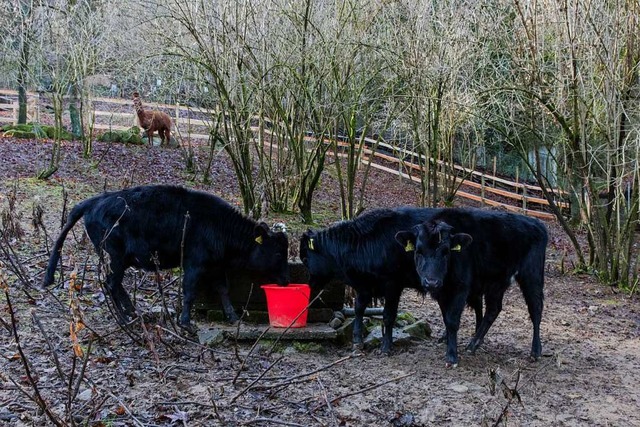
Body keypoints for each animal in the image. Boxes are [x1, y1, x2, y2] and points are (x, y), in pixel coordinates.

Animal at [41, 186, 288, 330]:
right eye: (277, 252)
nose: (285, 281)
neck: (219, 225)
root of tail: (92, 202)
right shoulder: (194, 263)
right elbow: (189, 291)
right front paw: (186, 323)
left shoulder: (216, 266)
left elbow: (223, 290)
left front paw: (233, 316)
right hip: (115, 257)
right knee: (111, 284)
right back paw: (125, 320)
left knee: (116, 285)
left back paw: (132, 313)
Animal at [300, 208, 440, 354]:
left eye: (305, 259)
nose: (311, 284)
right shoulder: (365, 286)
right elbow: (359, 308)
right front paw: (357, 341)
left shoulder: (392, 286)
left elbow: (388, 315)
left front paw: (386, 346)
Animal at [392, 209, 548, 366]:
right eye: (418, 251)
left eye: (446, 252)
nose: (431, 282)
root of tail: (537, 223)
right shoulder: (443, 293)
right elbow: (446, 317)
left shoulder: (461, 288)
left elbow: (452, 321)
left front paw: (452, 356)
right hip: (496, 282)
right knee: (494, 309)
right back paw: (474, 344)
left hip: (531, 276)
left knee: (535, 309)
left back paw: (536, 351)